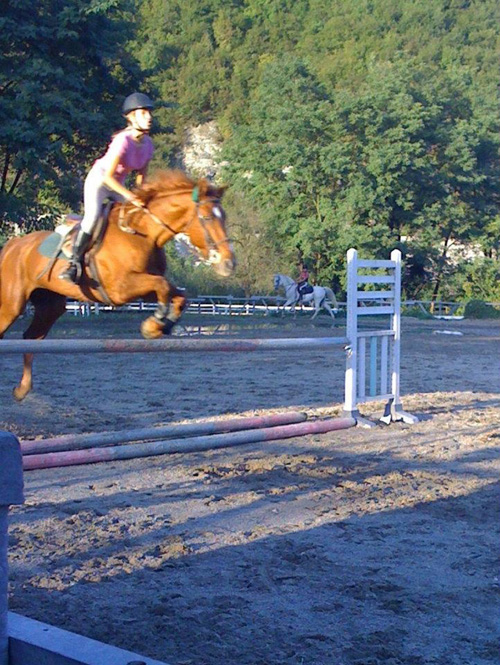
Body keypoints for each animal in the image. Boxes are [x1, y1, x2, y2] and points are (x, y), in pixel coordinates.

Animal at [0, 170, 235, 400]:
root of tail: (12, 245)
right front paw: (155, 324)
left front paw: (162, 325)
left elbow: (176, 294)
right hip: (12, 305)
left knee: (31, 337)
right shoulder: (120, 289)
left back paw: (22, 389)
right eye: (207, 217)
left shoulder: (144, 288)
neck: (143, 234)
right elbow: (163, 286)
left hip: (50, 306)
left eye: (224, 217)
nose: (229, 263)